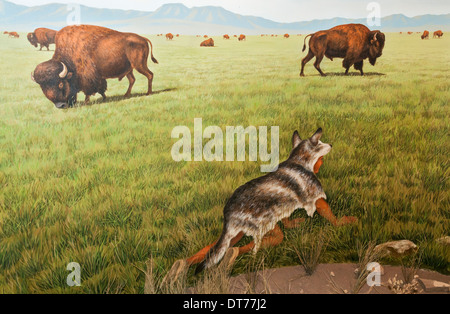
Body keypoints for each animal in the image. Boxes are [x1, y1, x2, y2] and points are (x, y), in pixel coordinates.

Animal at [164, 127, 356, 280]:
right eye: (321, 142)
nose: (331, 144)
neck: (299, 160)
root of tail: (228, 213)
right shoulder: (316, 196)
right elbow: (328, 212)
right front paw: (342, 222)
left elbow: (287, 219)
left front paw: (293, 223)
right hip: (263, 227)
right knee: (251, 246)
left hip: (235, 234)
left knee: (212, 250)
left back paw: (177, 270)